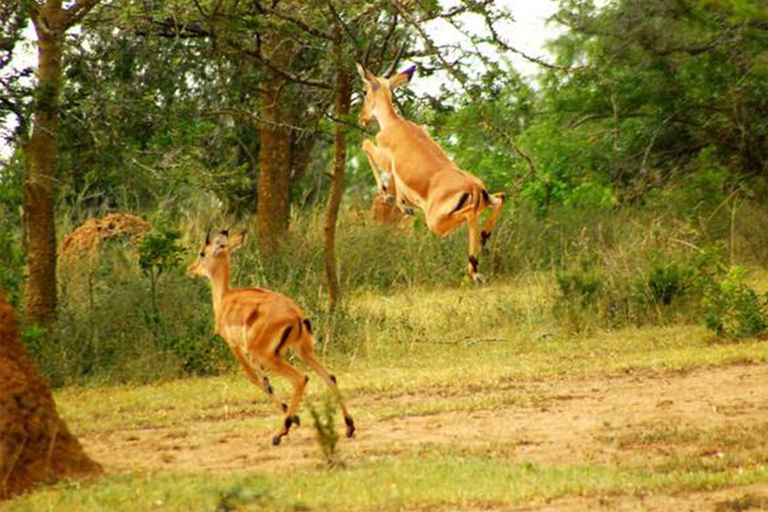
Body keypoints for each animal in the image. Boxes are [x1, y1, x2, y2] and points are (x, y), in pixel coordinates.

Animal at [188, 230, 356, 446]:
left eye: (202, 253)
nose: (191, 269)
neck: (225, 299)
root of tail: (296, 315)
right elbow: (266, 382)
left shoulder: (235, 345)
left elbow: (253, 377)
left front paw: (295, 417)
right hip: (302, 351)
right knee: (330, 376)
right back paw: (349, 426)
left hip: (268, 355)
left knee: (301, 378)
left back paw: (280, 433)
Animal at [356, 63, 508, 284]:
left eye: (365, 91)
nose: (362, 118)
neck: (394, 124)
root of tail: (473, 187)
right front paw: (401, 203)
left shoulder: (385, 160)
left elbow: (366, 145)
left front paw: (391, 197)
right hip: (479, 204)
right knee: (500, 198)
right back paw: (483, 247)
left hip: (436, 222)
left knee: (471, 215)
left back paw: (475, 270)